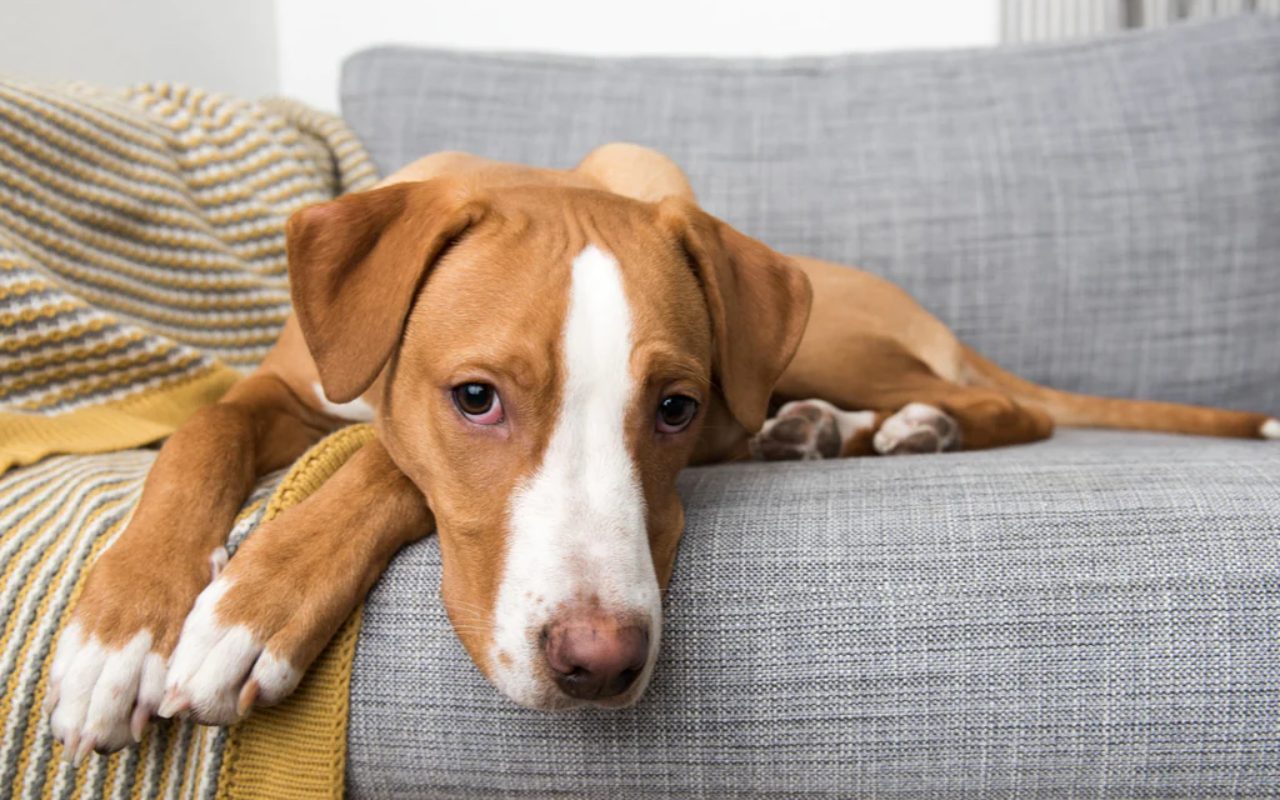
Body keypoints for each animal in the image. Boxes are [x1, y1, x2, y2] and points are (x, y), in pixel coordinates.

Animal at [42, 143, 1280, 762]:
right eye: (476, 398)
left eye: (675, 408)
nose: (599, 663)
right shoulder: (282, 387)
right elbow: (204, 427)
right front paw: (121, 627)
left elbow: (385, 463)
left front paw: (254, 602)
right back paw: (812, 430)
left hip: (827, 334)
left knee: (1000, 405)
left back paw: (901, 425)